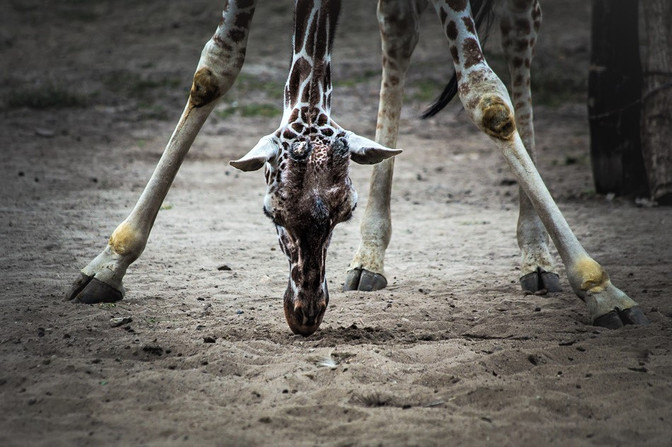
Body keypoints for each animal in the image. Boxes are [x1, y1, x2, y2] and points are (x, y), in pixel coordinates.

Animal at [66, 0, 649, 335]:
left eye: (342, 212)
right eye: (270, 213)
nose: (304, 316)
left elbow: (487, 97)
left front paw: (600, 289)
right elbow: (214, 68)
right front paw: (107, 264)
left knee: (519, 25)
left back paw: (536, 257)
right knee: (398, 28)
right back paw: (370, 259)